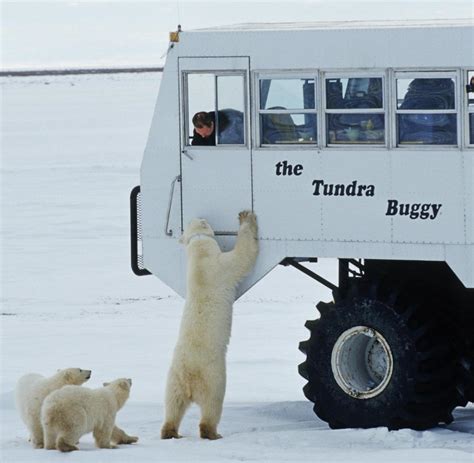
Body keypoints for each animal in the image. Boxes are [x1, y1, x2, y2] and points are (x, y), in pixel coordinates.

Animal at [163, 212, 260, 440]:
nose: (201, 216)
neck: (199, 257)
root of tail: (189, 379)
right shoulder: (220, 268)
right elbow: (242, 257)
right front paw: (246, 217)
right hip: (212, 377)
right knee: (212, 404)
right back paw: (212, 432)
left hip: (174, 379)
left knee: (173, 405)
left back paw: (170, 431)